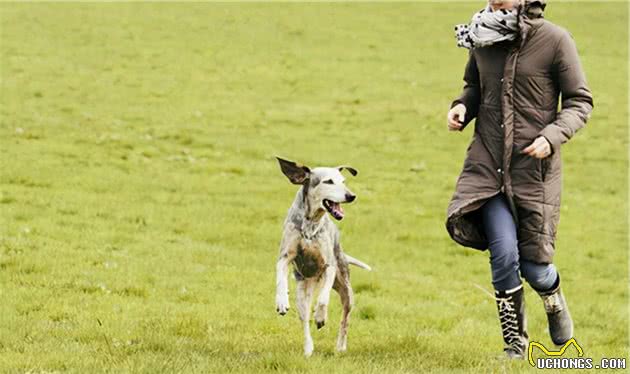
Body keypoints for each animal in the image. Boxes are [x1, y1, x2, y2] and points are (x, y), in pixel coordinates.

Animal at [276, 157, 370, 356]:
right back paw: (308, 348)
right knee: (304, 320)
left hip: (347, 291)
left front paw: (320, 316)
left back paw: (340, 347)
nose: (351, 195)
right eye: (329, 181)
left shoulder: (329, 266)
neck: (311, 222)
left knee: (345, 320)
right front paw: (281, 302)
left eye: (343, 181)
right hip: (302, 294)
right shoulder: (285, 256)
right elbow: (280, 278)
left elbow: (324, 298)